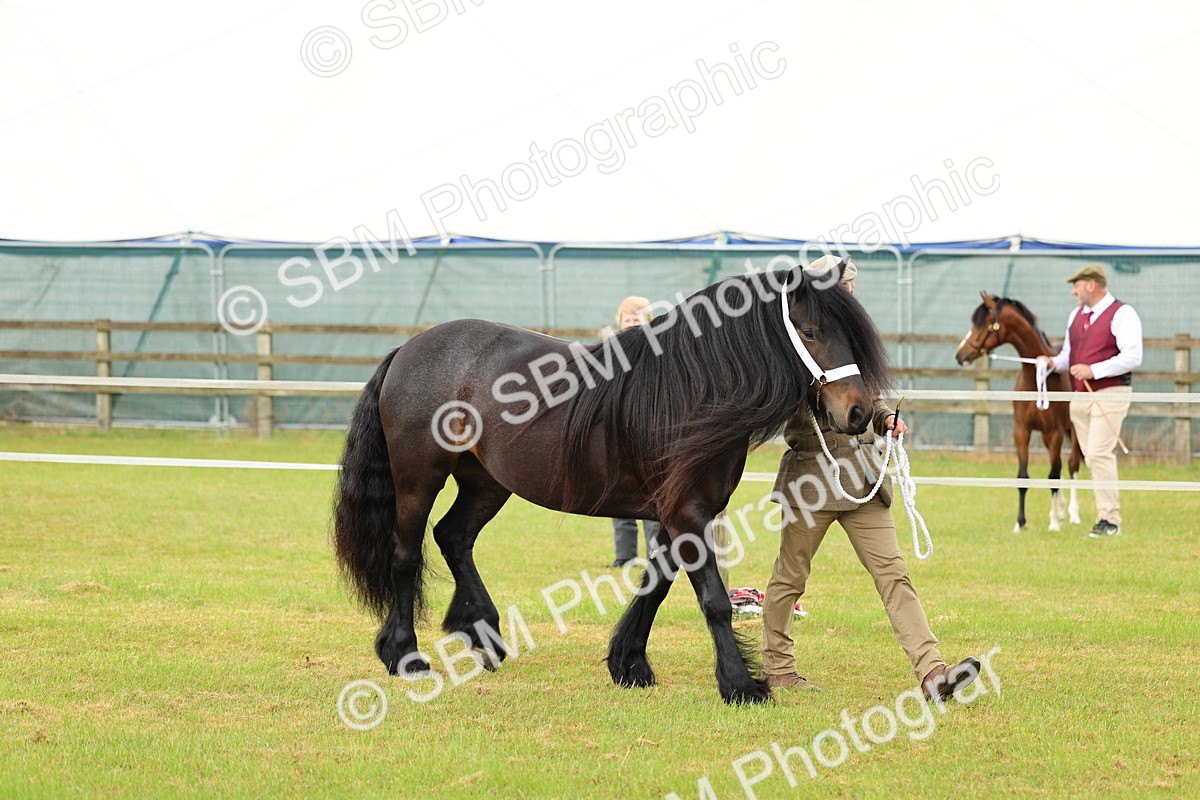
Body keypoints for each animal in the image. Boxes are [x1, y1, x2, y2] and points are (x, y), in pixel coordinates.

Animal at [332, 259, 892, 705]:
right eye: (812, 331)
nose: (860, 413)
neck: (693, 391)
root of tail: (409, 348)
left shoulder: (676, 514)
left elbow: (656, 586)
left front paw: (630, 664)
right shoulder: (686, 514)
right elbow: (712, 599)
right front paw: (739, 685)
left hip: (486, 482)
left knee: (454, 536)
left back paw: (483, 633)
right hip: (418, 478)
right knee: (406, 555)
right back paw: (404, 655)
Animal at [955, 292, 1083, 532]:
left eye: (985, 324)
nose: (960, 355)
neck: (1036, 377)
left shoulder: (1055, 432)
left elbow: (1053, 476)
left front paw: (1053, 523)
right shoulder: (1022, 431)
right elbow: (1023, 476)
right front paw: (1020, 523)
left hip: (1074, 432)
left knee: (1072, 466)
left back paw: (1072, 514)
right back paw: (1061, 511)